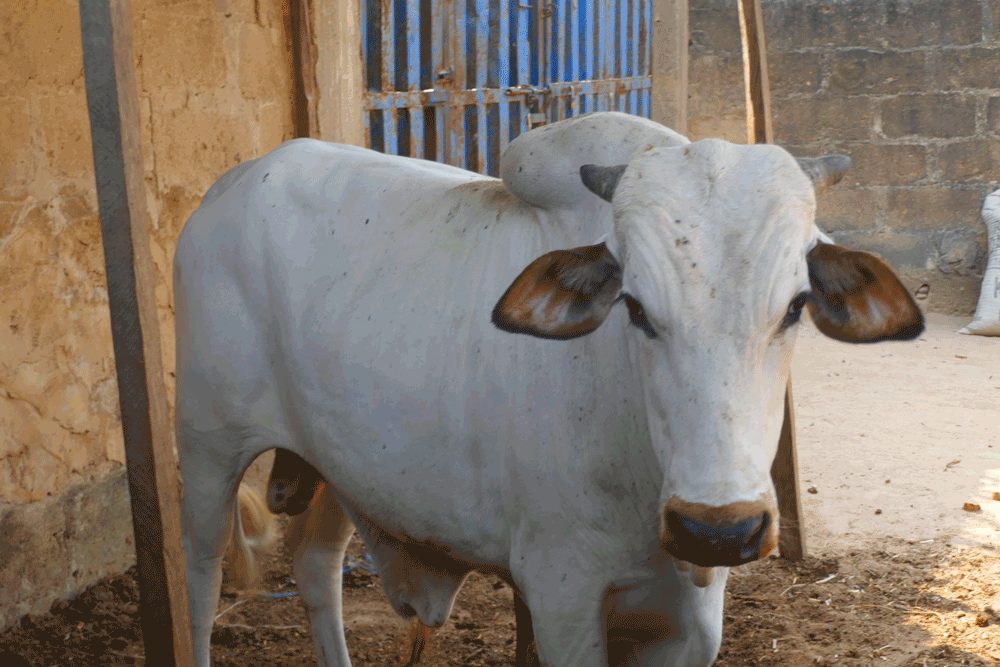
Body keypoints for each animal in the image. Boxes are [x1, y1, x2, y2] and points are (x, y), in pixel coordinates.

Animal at [174, 112, 923, 666]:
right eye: (635, 307)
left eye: (795, 306)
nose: (719, 528)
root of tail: (228, 188)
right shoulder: (563, 595)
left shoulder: (691, 614)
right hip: (209, 449)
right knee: (202, 584)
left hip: (339, 464)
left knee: (315, 568)